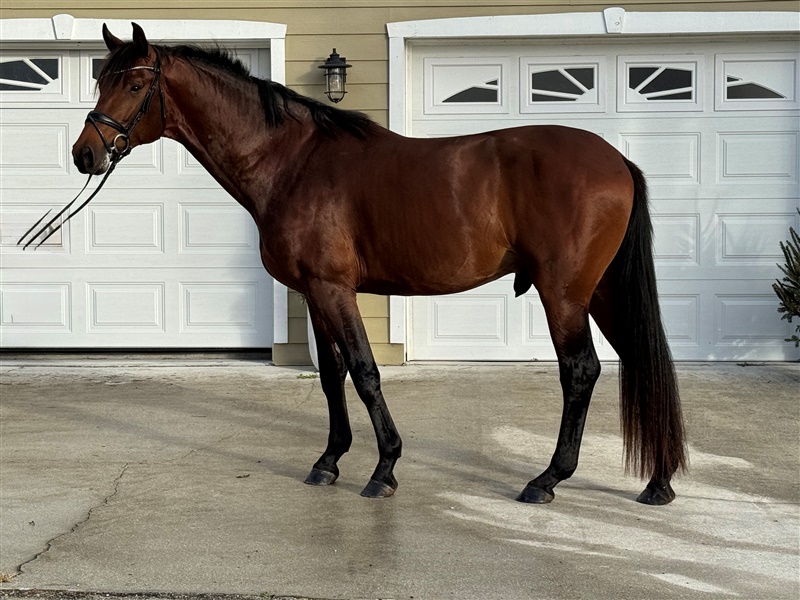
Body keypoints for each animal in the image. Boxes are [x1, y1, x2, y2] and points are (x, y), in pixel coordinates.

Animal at [30, 23, 688, 505]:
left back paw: (547, 480)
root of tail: (616, 159)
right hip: (599, 291)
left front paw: (384, 469)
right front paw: (328, 461)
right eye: (101, 80)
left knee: (581, 371)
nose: (84, 153)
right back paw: (657, 481)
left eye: (133, 86)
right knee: (640, 358)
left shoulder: (334, 288)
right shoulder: (311, 292)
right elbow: (331, 375)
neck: (293, 161)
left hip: (565, 293)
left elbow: (366, 372)